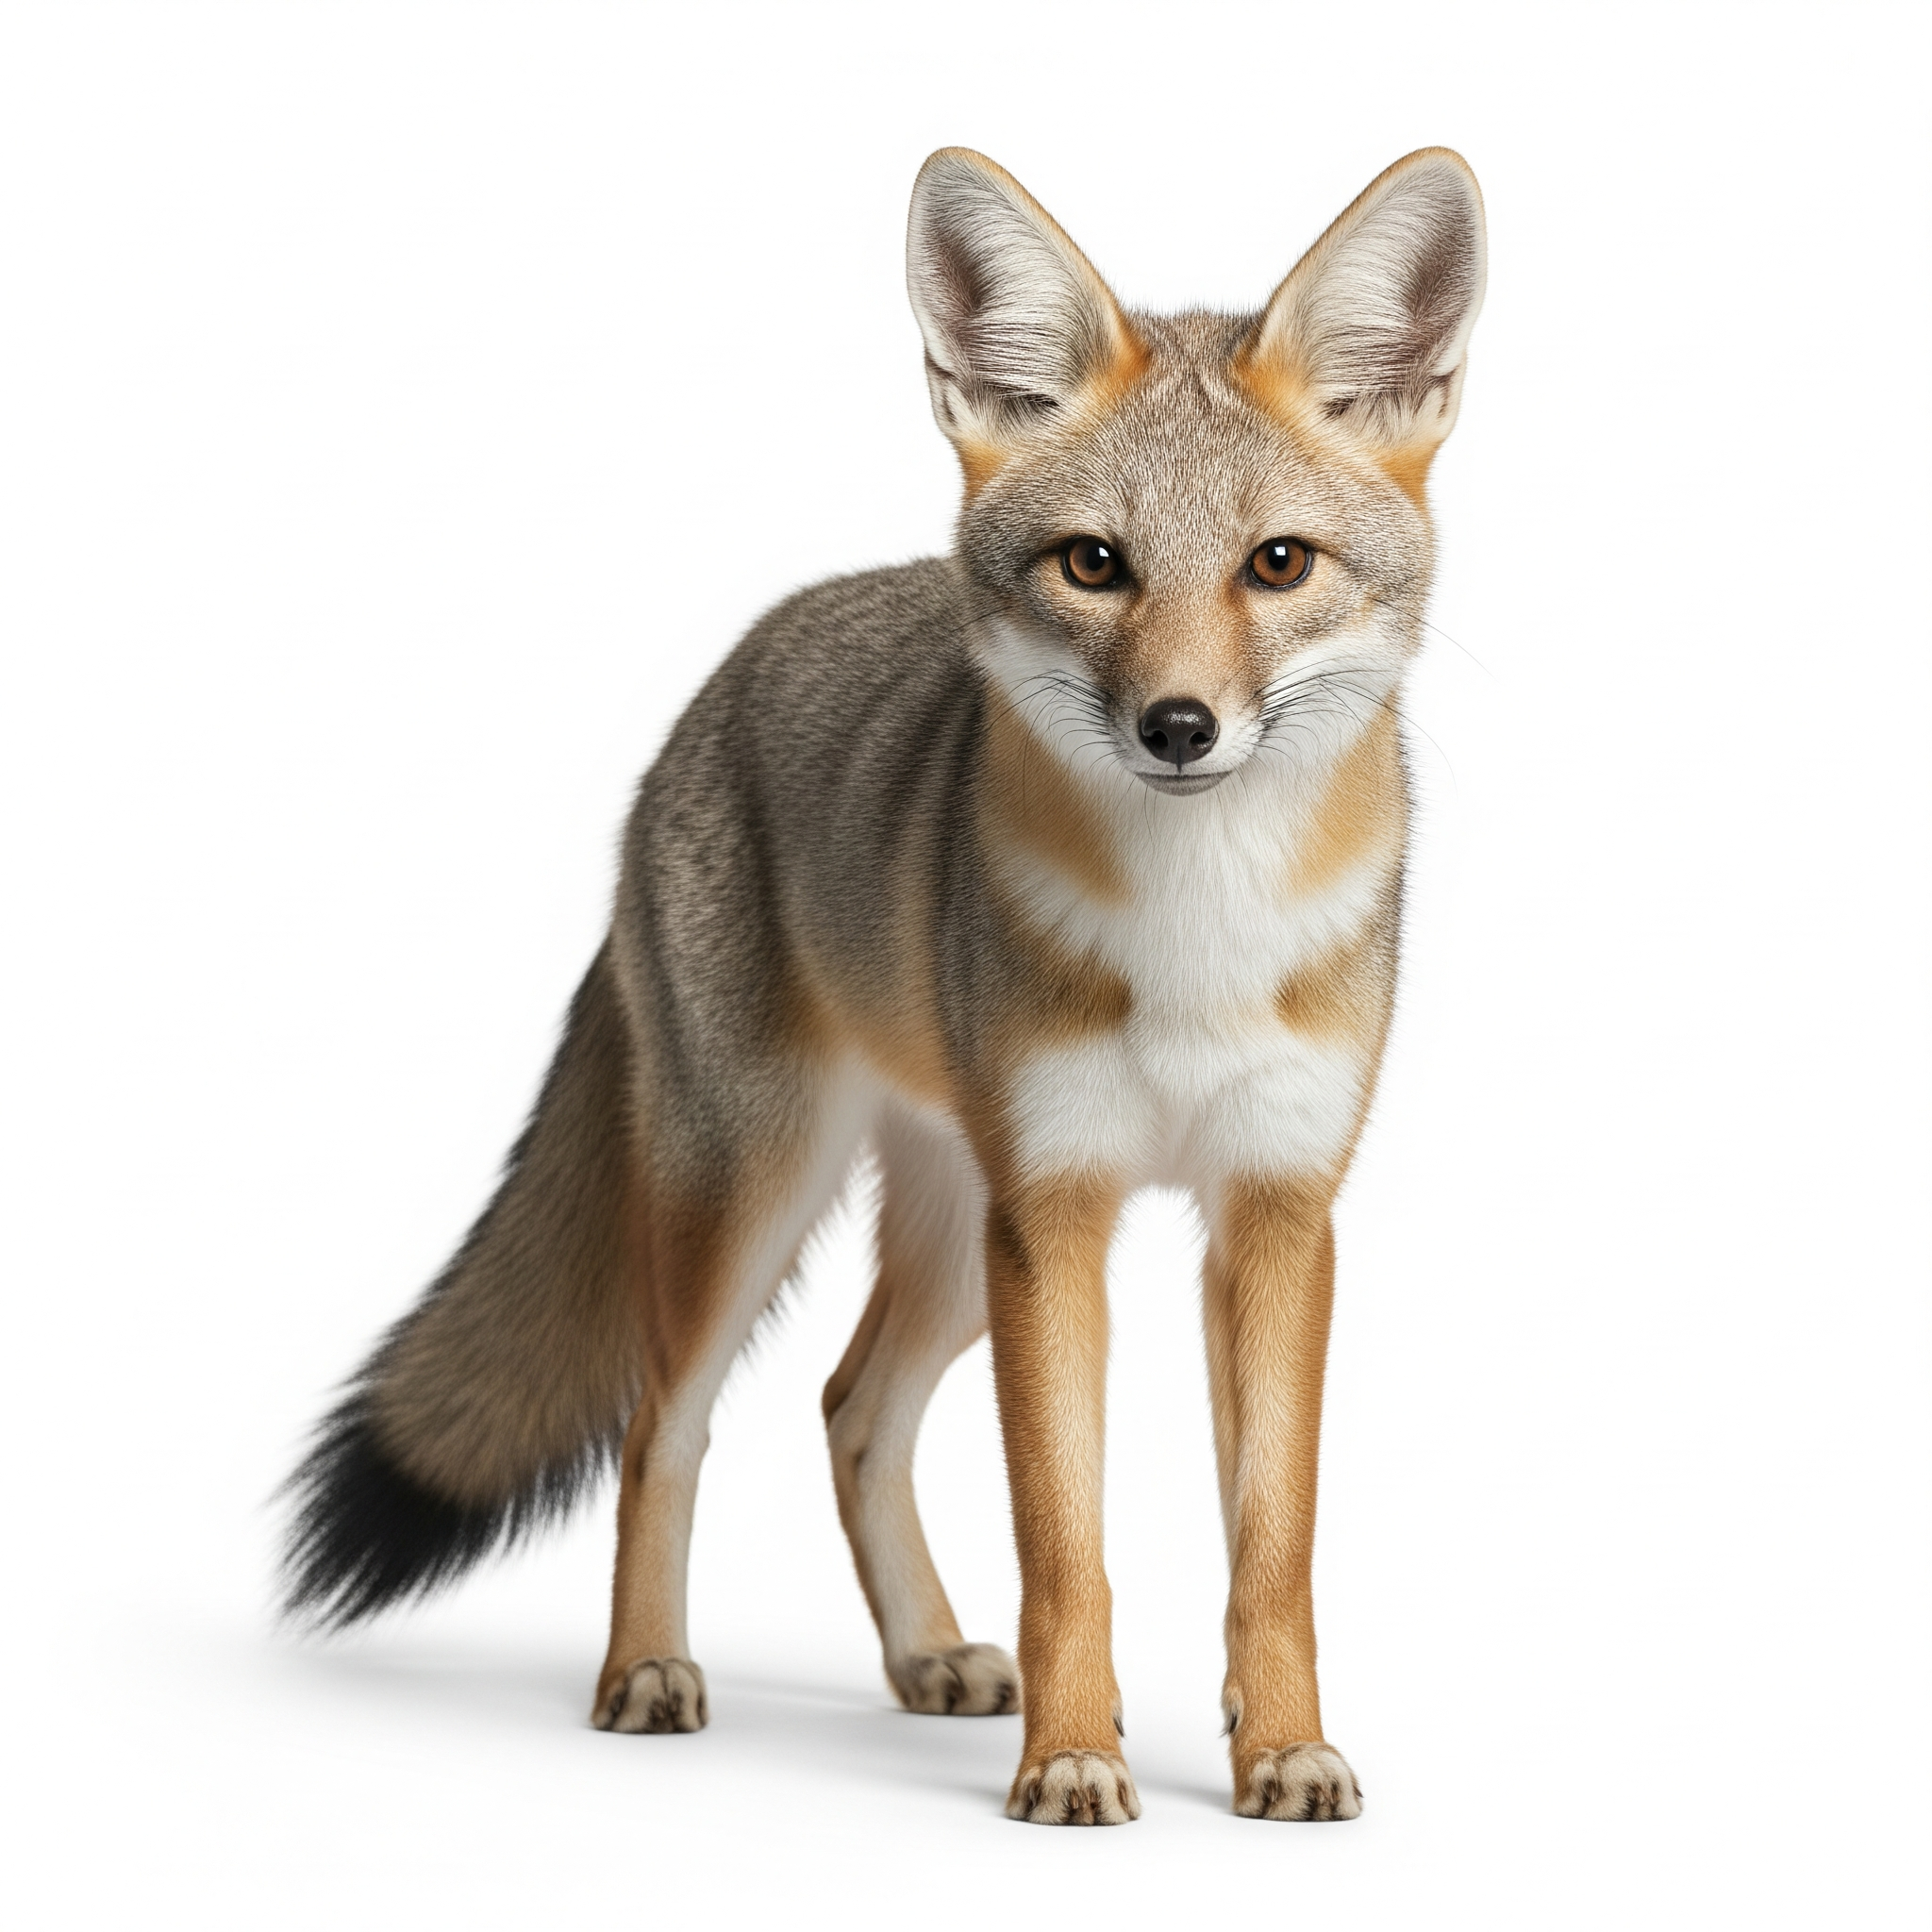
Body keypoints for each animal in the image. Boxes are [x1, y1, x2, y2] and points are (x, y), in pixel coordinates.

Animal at [283, 145, 1486, 1825]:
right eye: (1095, 565)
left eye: (1278, 565)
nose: (1181, 726)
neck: (1194, 941)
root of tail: (719, 685)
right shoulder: (1057, 1216)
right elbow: (1067, 1546)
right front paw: (1074, 1758)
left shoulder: (1275, 1213)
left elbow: (1272, 1549)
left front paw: (1281, 1745)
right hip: (766, 1196)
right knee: (665, 1423)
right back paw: (645, 1673)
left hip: (948, 1235)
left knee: (854, 1408)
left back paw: (924, 1657)